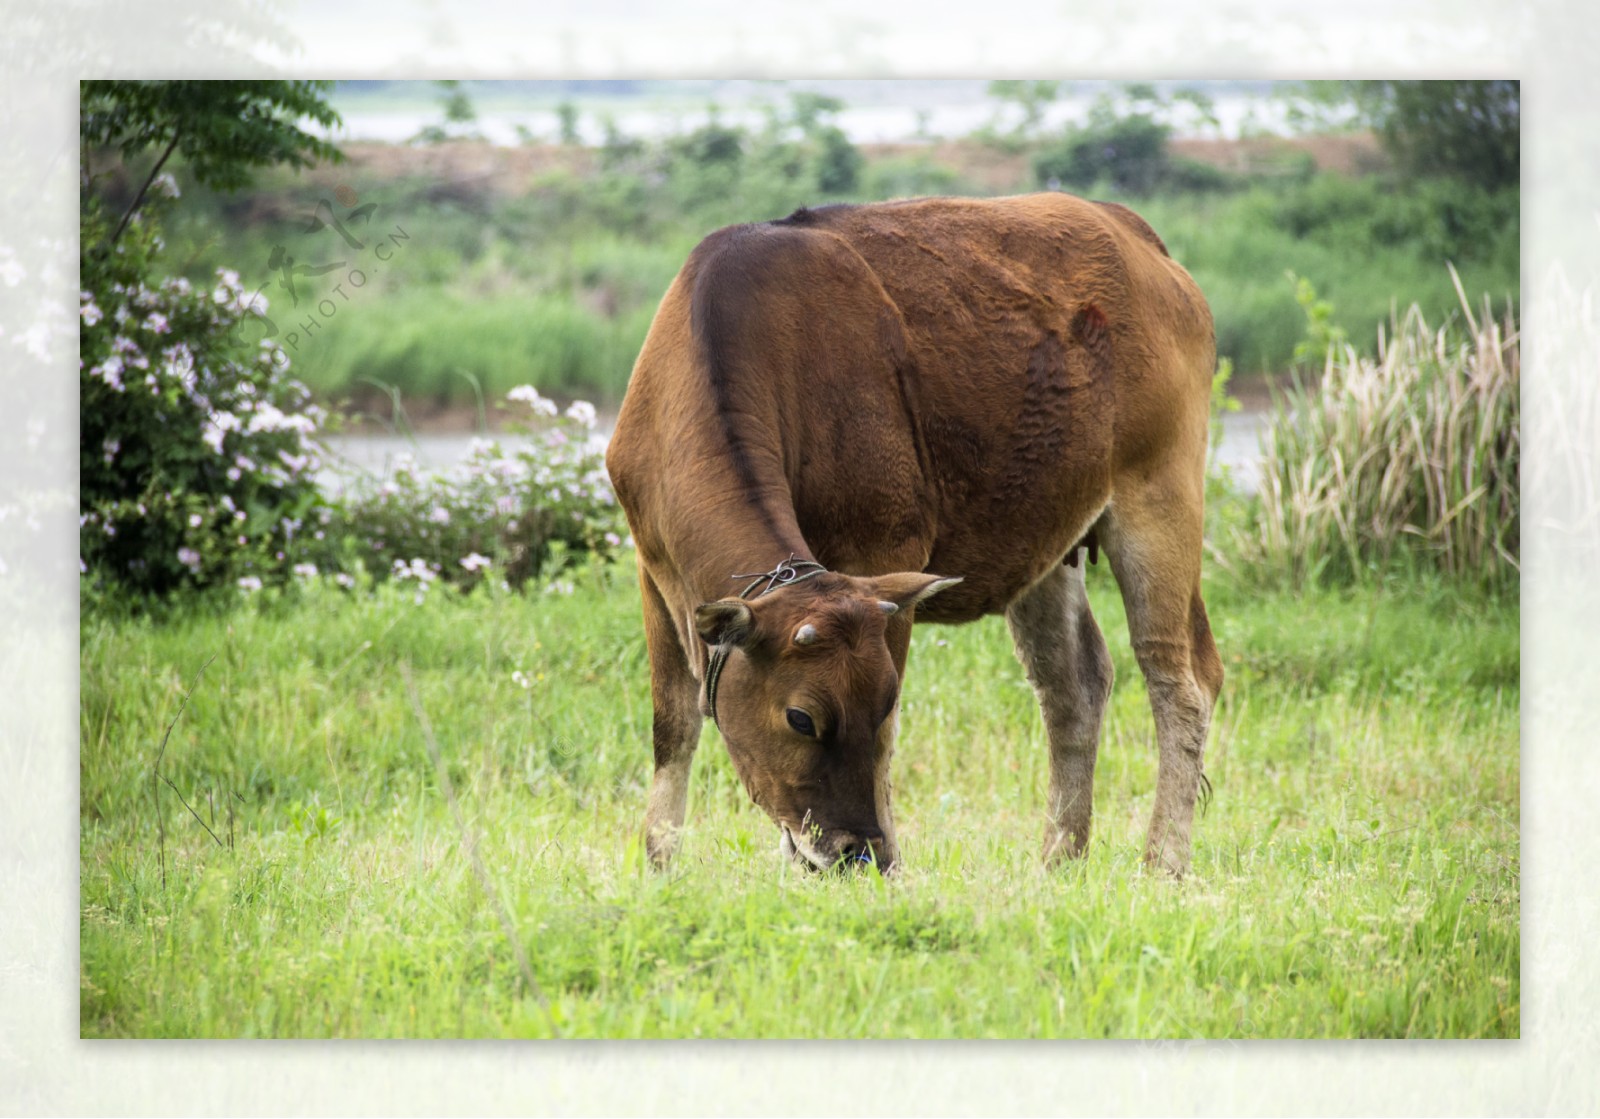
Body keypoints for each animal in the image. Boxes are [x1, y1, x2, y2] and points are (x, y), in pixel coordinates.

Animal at [604, 190, 1216, 877]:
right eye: (801, 718)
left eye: (880, 702)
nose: (854, 850)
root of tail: (1131, 230)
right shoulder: (655, 569)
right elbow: (672, 725)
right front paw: (658, 864)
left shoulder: (885, 548)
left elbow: (887, 743)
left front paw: (878, 864)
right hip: (1048, 540)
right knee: (1074, 685)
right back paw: (1058, 858)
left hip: (1161, 494)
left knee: (1179, 680)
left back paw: (1163, 861)